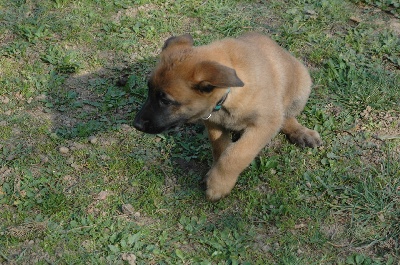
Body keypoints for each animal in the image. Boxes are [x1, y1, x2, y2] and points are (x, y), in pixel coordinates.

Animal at [134, 32, 322, 200]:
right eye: (149, 90)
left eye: (165, 100)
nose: (136, 124)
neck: (228, 96)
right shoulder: (213, 123)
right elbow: (220, 148)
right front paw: (215, 174)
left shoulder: (265, 123)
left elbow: (236, 154)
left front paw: (219, 184)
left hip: (300, 90)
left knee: (287, 117)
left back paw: (301, 133)